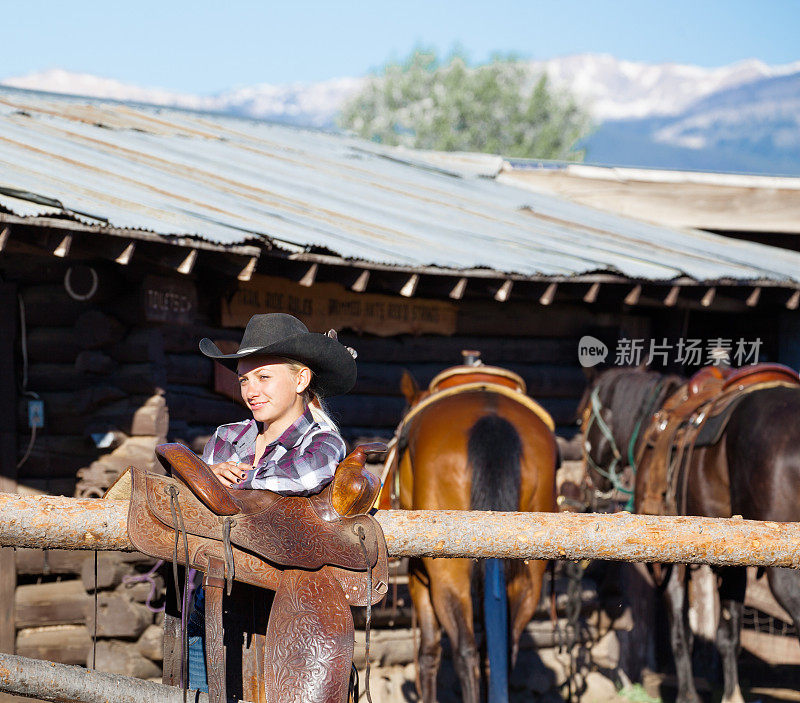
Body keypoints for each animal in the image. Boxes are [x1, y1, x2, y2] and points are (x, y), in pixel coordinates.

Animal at [380, 360, 556, 703]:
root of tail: (491, 420)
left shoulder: (420, 574)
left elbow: (429, 651)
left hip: (447, 572)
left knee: (465, 651)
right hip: (529, 573)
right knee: (504, 650)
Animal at [580, 364, 800, 703]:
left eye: (582, 421)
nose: (589, 491)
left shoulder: (670, 561)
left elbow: (681, 634)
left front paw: (687, 695)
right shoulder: (736, 557)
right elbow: (728, 636)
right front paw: (731, 695)